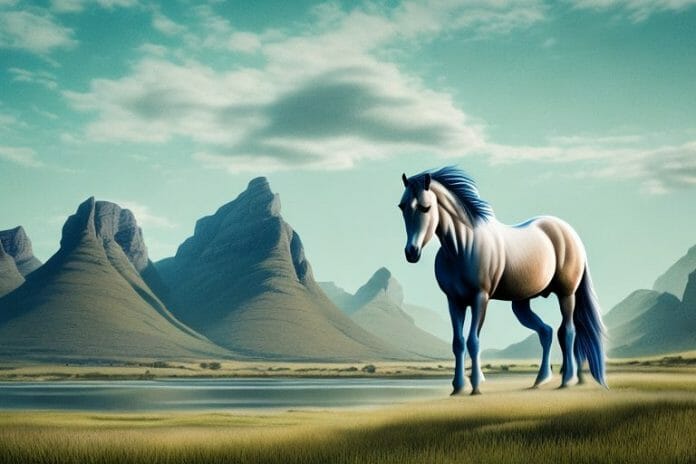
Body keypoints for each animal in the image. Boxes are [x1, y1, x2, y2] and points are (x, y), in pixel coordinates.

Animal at [398, 166, 606, 395]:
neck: (462, 247)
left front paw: (476, 386)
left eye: (425, 207)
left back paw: (567, 379)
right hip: (521, 304)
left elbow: (473, 341)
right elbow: (458, 343)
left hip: (566, 294)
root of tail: (569, 233)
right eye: (402, 206)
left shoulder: (480, 298)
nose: (411, 252)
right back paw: (541, 379)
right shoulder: (454, 302)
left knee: (567, 332)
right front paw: (458, 387)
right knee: (547, 332)